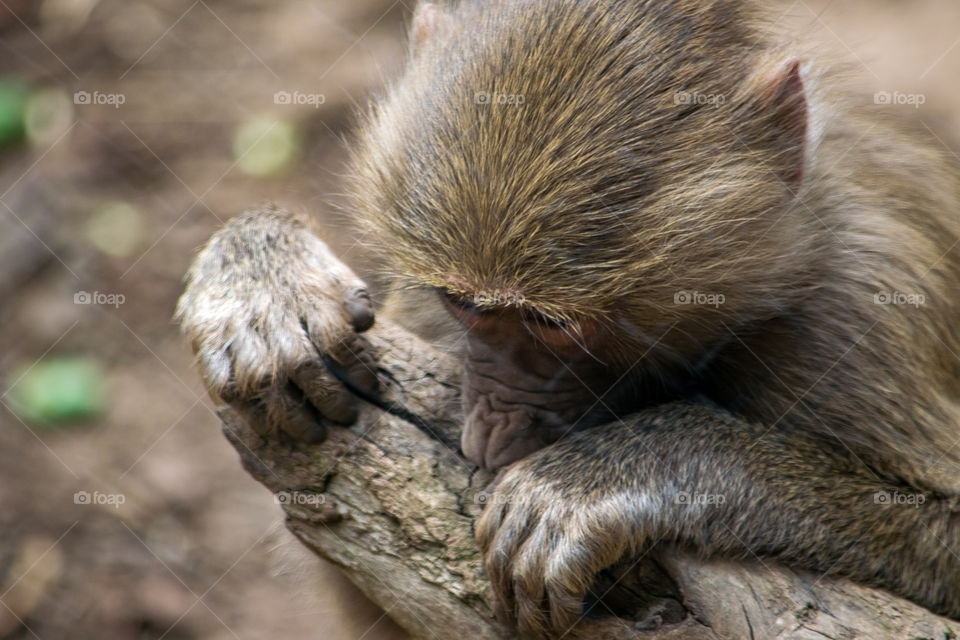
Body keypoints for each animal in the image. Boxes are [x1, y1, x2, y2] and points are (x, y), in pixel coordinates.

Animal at [176, 0, 960, 637]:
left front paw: (604, 480)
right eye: (466, 304)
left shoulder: (860, 315)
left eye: (552, 325)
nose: (489, 429)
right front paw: (265, 283)